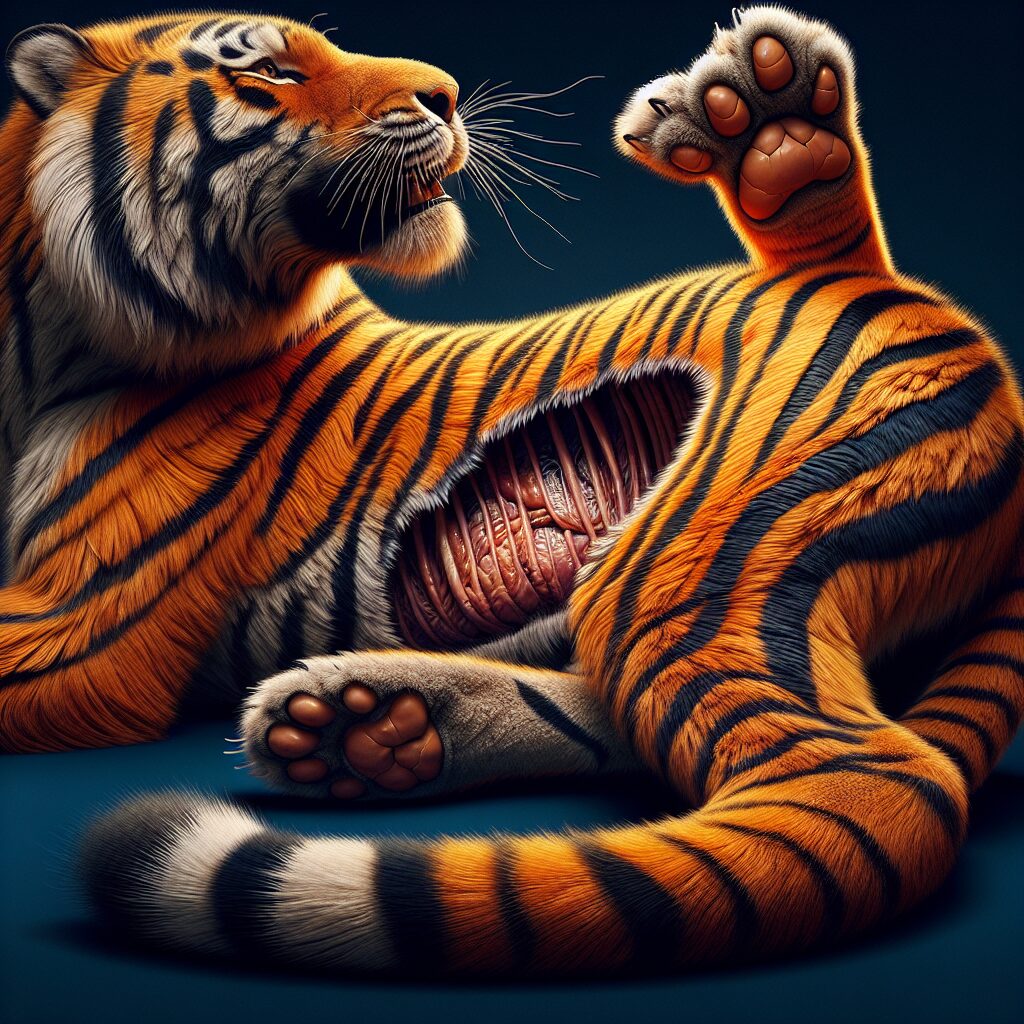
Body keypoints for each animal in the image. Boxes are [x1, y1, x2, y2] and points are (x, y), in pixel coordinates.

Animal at [1, 6, 1021, 975]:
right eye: (271, 72)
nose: (447, 95)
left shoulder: (85, 630)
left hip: (696, 558)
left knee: (859, 772)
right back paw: (371, 727)